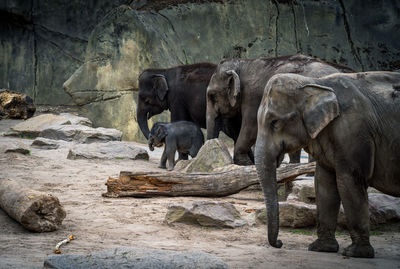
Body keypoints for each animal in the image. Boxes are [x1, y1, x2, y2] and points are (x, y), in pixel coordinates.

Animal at [255, 70, 400, 256]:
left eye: (275, 123)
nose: (280, 243)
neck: (315, 83)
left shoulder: (353, 131)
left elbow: (349, 181)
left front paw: (355, 253)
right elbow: (324, 183)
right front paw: (320, 248)